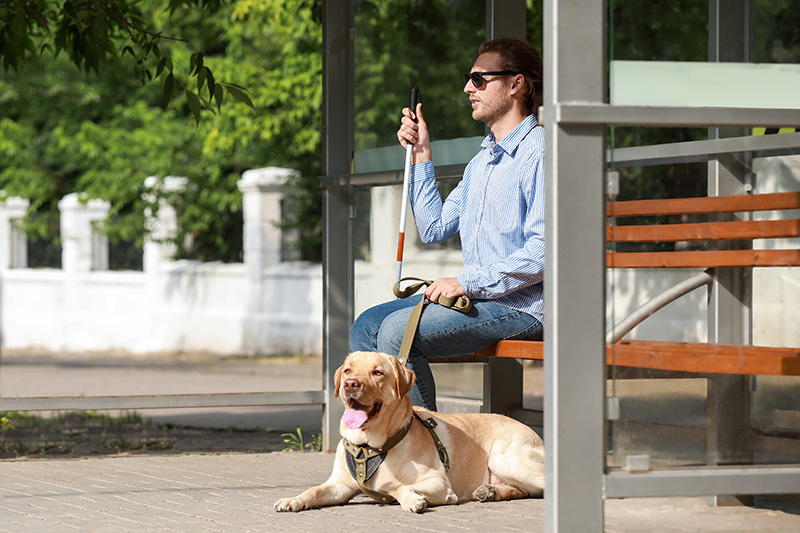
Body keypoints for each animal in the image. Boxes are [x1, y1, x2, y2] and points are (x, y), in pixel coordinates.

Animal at [274, 350, 544, 512]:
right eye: (348, 370)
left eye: (377, 372)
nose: (350, 384)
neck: (369, 447)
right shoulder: (339, 485)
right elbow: (314, 489)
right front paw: (293, 499)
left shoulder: (439, 483)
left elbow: (395, 485)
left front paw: (411, 498)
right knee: (524, 490)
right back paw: (491, 491)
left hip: (504, 458)